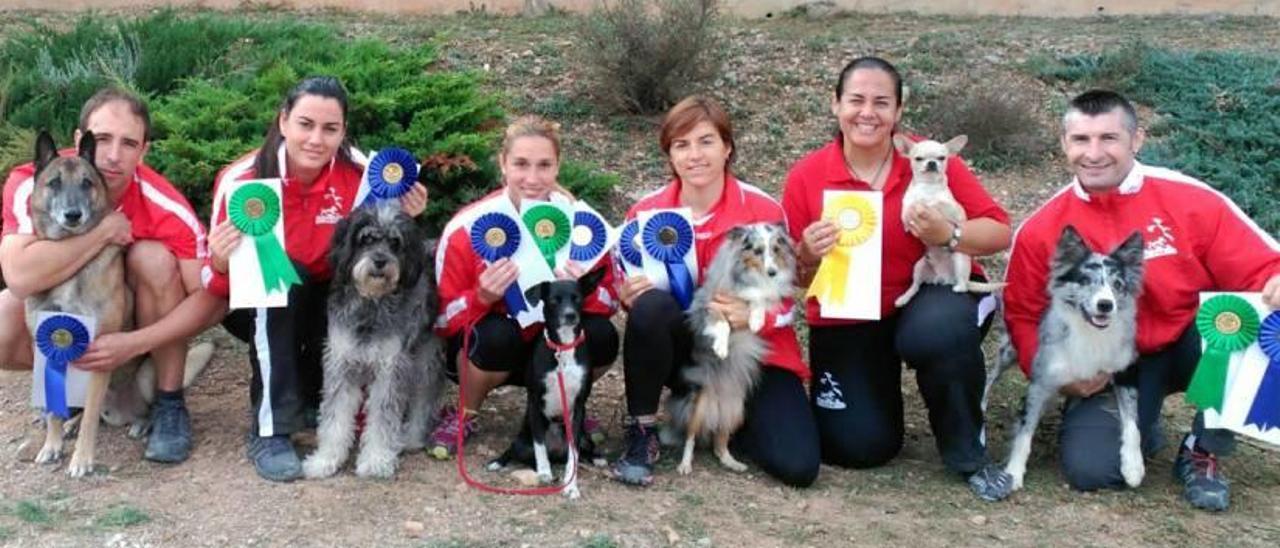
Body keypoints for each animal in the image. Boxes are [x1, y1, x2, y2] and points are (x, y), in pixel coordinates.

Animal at [26, 130, 134, 476]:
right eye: (54, 183)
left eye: (87, 183)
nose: (73, 215)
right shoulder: (45, 346)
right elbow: (54, 410)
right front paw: (52, 444)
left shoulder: (100, 353)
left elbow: (90, 419)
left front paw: (82, 459)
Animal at [300, 204, 445, 478]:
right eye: (366, 238)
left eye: (395, 242)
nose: (379, 261)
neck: (370, 306)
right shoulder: (341, 366)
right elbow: (335, 418)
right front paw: (326, 459)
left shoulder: (390, 369)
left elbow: (382, 418)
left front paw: (376, 460)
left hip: (424, 361)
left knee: (424, 400)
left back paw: (412, 437)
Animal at [488, 267, 609, 499]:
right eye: (554, 300)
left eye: (577, 298)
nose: (570, 315)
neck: (563, 349)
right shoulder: (535, 402)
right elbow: (539, 445)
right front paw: (544, 472)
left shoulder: (578, 406)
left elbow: (574, 455)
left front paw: (571, 486)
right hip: (521, 441)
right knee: (517, 451)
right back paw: (501, 462)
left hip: (585, 436)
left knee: (581, 450)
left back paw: (596, 458)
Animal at [665, 222, 793, 476]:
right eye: (757, 250)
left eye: (775, 249)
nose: (772, 272)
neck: (749, 275)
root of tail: (718, 401)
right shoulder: (711, 305)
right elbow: (722, 324)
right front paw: (721, 347)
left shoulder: (766, 295)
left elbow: (760, 301)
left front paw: (756, 320)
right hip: (697, 408)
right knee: (691, 438)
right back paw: (685, 465)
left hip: (736, 411)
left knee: (720, 442)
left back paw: (732, 462)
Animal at [983, 225, 1146, 491]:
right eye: (1085, 281)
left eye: (1117, 284)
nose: (1105, 304)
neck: (1090, 331)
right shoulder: (1041, 381)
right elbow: (1024, 432)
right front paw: (1014, 472)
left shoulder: (1125, 371)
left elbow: (1133, 423)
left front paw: (1133, 466)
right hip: (1009, 351)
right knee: (991, 375)